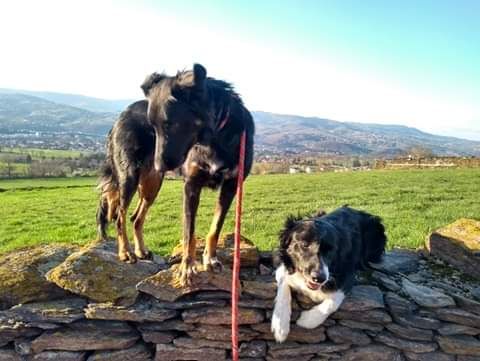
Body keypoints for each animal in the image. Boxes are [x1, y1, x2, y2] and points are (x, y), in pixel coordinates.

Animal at [97, 63, 255, 286]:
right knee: (120, 215)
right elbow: (189, 232)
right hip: (130, 175)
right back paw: (125, 252)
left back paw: (141, 250)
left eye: (169, 124)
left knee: (135, 217)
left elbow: (215, 227)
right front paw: (187, 269)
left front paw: (210, 259)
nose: (158, 165)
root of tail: (121, 116)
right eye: (153, 126)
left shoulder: (231, 185)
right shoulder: (191, 185)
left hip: (152, 184)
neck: (214, 139)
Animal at [270, 205, 386, 340]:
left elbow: (334, 300)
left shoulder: (347, 274)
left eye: (331, 250)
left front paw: (308, 320)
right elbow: (284, 287)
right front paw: (280, 326)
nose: (319, 278)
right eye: (304, 244)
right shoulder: (282, 265)